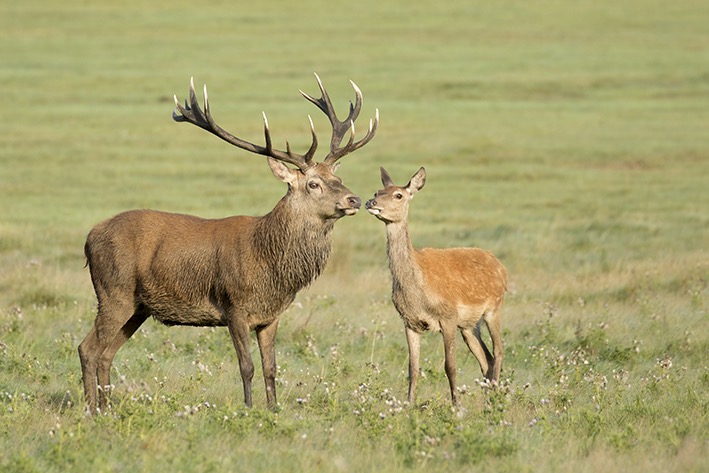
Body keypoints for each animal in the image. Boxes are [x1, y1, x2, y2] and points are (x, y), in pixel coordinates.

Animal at [79, 74, 378, 412]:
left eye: (338, 179)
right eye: (314, 184)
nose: (354, 199)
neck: (269, 263)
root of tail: (90, 237)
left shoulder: (270, 316)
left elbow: (271, 368)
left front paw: (273, 409)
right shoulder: (234, 307)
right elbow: (246, 366)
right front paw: (248, 409)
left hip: (138, 307)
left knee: (106, 353)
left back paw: (106, 408)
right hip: (113, 292)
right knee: (87, 348)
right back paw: (91, 410)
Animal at [368, 168, 506, 404]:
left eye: (398, 195)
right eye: (378, 191)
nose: (371, 202)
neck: (418, 290)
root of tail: (501, 267)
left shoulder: (448, 316)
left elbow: (450, 366)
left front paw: (455, 405)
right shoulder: (409, 321)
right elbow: (412, 368)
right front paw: (409, 404)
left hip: (493, 308)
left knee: (498, 351)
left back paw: (496, 399)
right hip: (469, 325)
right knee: (486, 358)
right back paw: (488, 399)